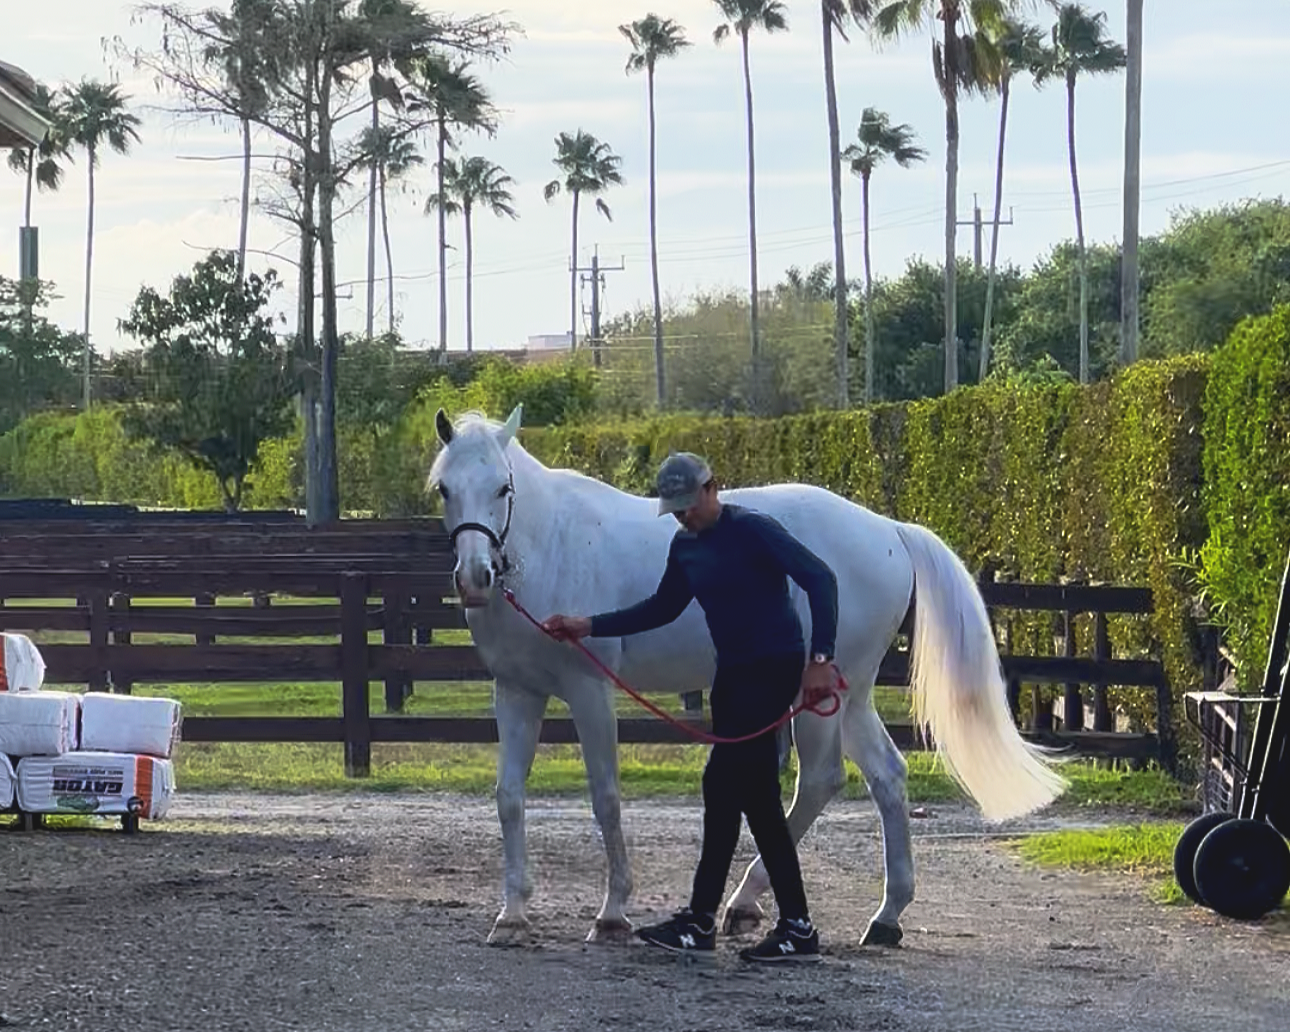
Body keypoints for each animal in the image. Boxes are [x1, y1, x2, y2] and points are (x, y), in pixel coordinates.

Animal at [428, 405, 1067, 947]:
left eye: (503, 487)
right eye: (444, 488)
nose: (476, 577)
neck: (551, 547)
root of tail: (887, 529)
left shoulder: (590, 693)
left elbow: (606, 798)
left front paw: (612, 914)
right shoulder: (516, 693)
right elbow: (509, 798)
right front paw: (512, 915)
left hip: (818, 697)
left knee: (821, 780)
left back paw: (748, 902)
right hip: (852, 696)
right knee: (887, 776)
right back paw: (883, 917)